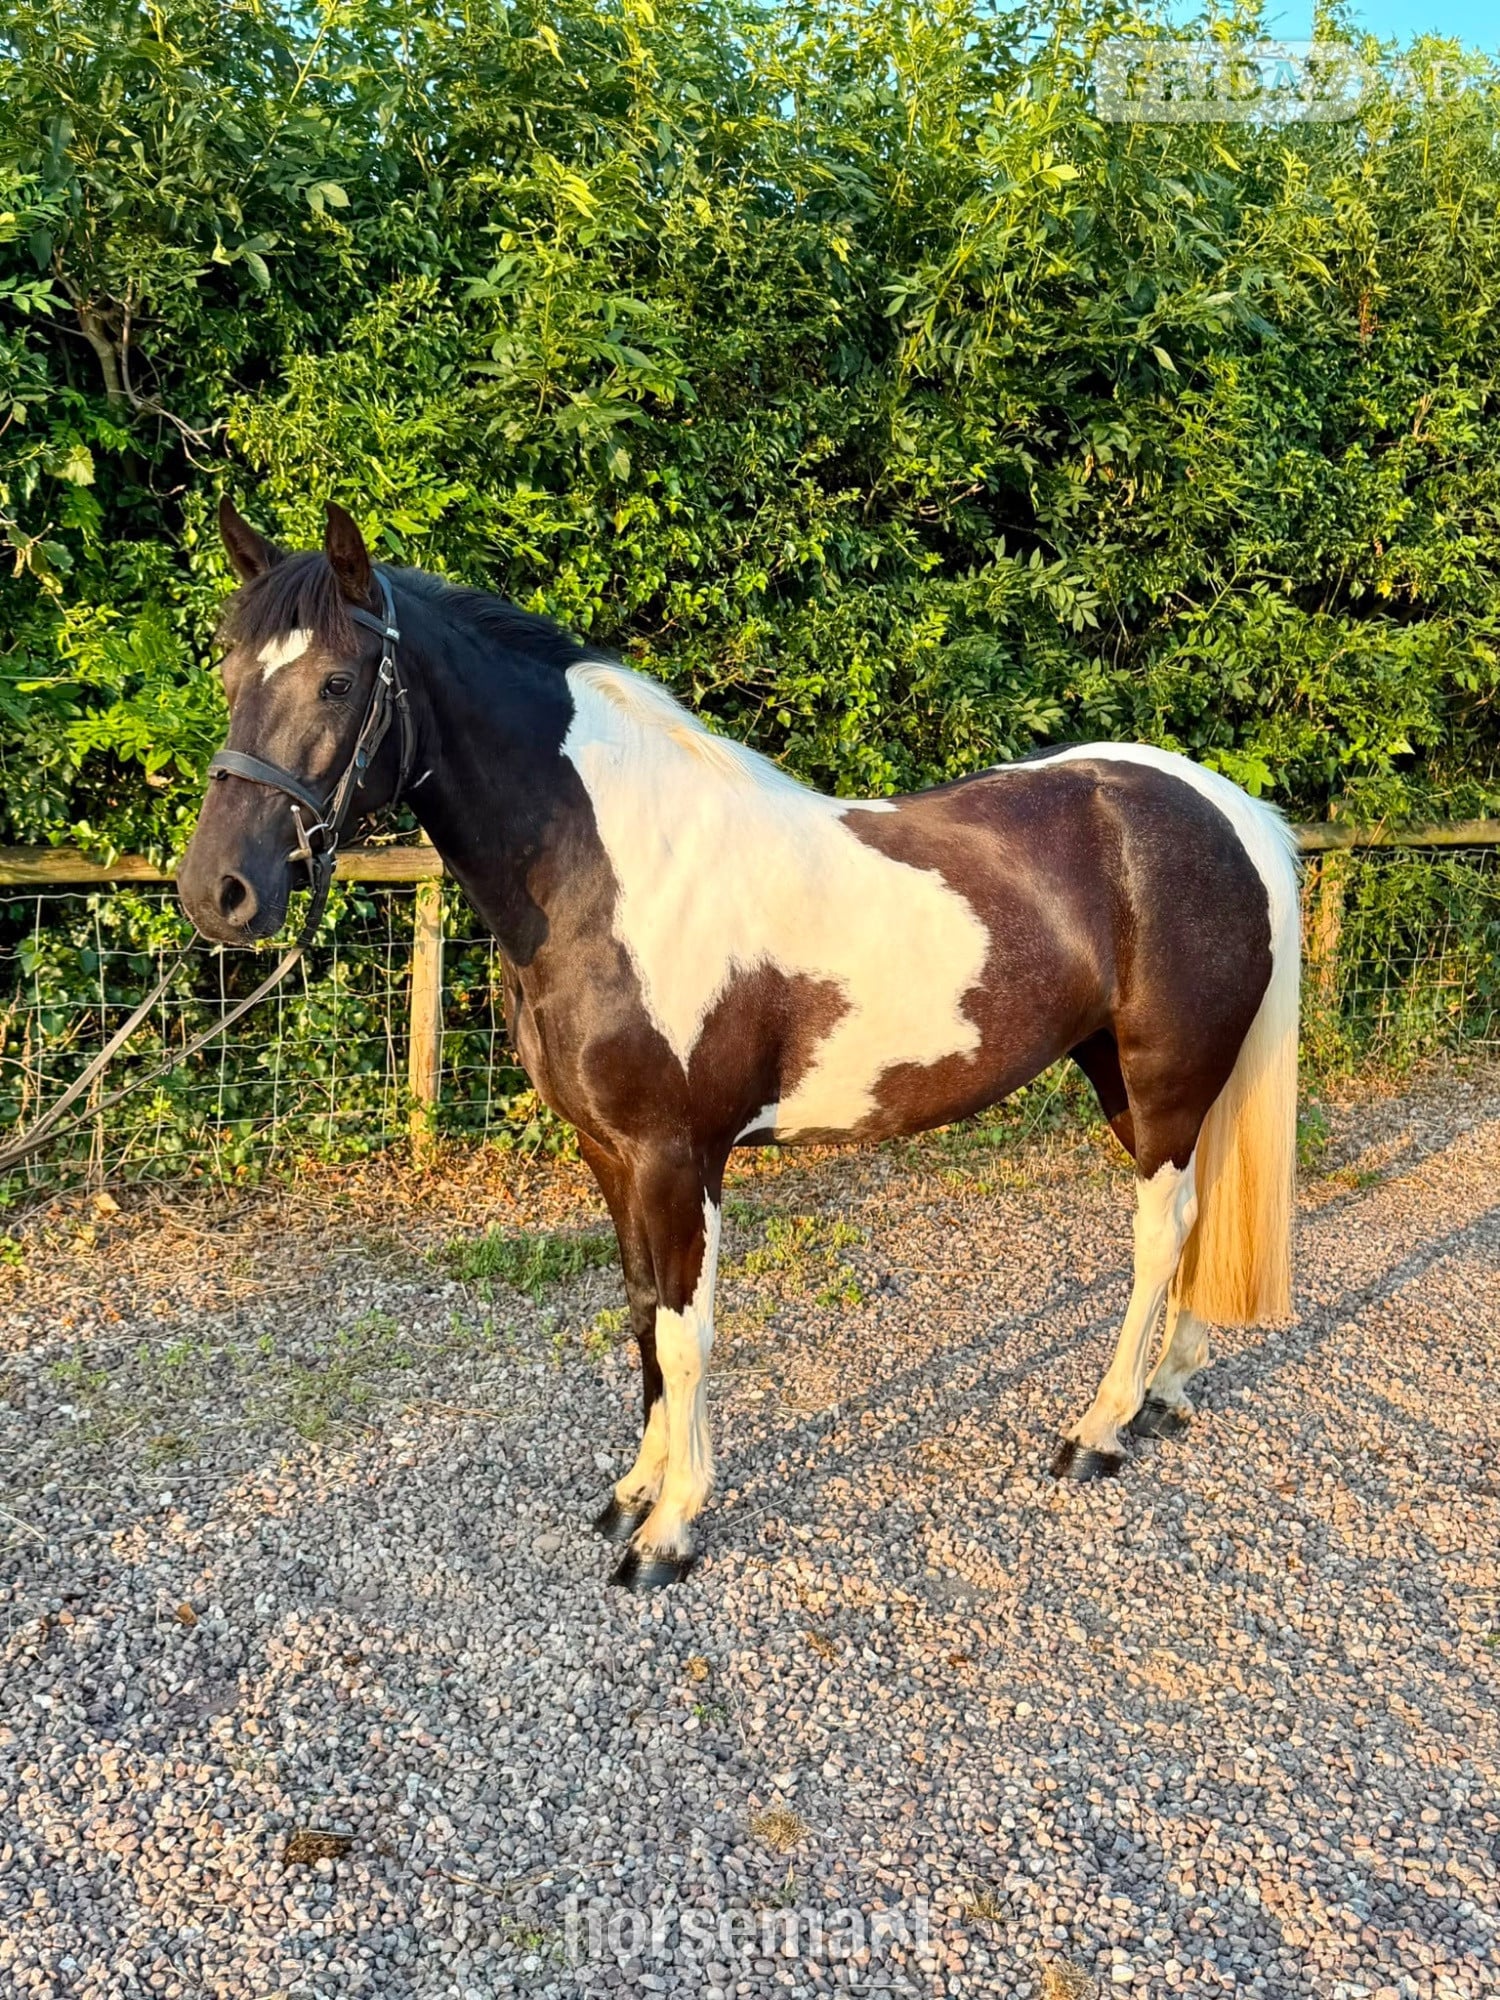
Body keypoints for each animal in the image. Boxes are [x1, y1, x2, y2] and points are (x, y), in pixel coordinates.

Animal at [178, 501, 1300, 1590]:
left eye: (336, 680)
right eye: (227, 672)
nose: (217, 891)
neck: (610, 871)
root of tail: (1227, 807)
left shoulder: (679, 1158)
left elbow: (688, 1333)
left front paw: (669, 1531)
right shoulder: (610, 1153)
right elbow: (641, 1315)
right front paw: (632, 1492)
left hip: (1162, 1078)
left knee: (1161, 1233)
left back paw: (1099, 1429)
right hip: (1126, 1076)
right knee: (1197, 1222)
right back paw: (1167, 1392)